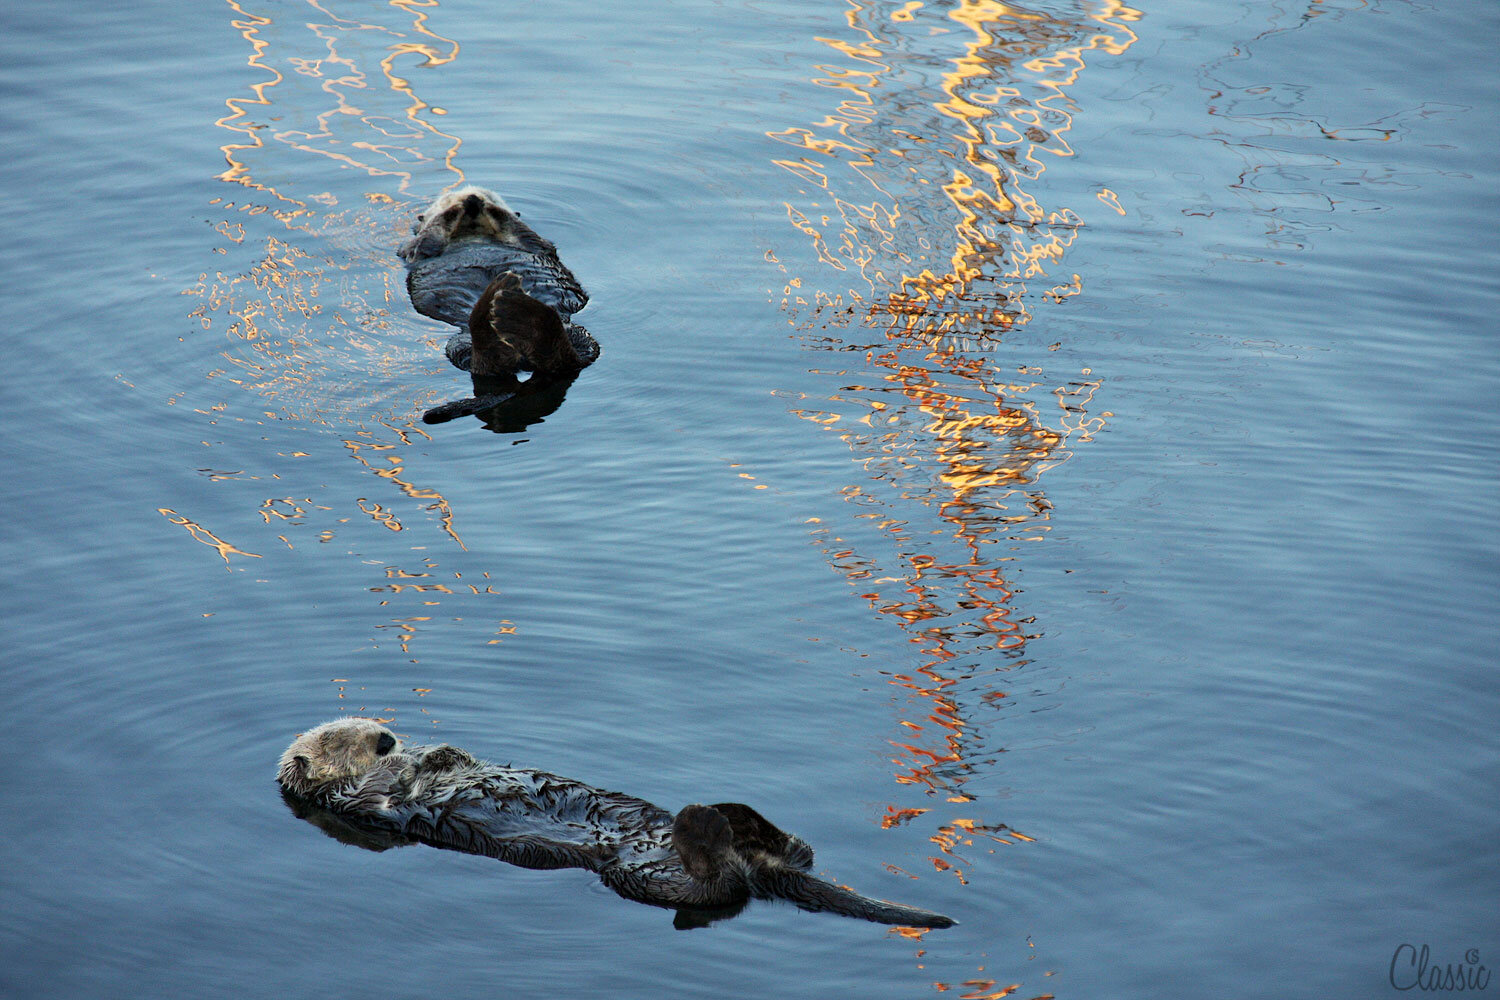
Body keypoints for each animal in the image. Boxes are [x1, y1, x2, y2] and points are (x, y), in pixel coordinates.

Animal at [276, 719, 954, 929]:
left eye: (373, 723)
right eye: (341, 739)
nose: (386, 737)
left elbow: (446, 758)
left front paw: (440, 751)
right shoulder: (355, 800)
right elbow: (387, 788)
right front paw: (417, 761)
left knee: (797, 851)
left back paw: (736, 816)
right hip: (638, 876)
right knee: (720, 890)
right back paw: (706, 824)